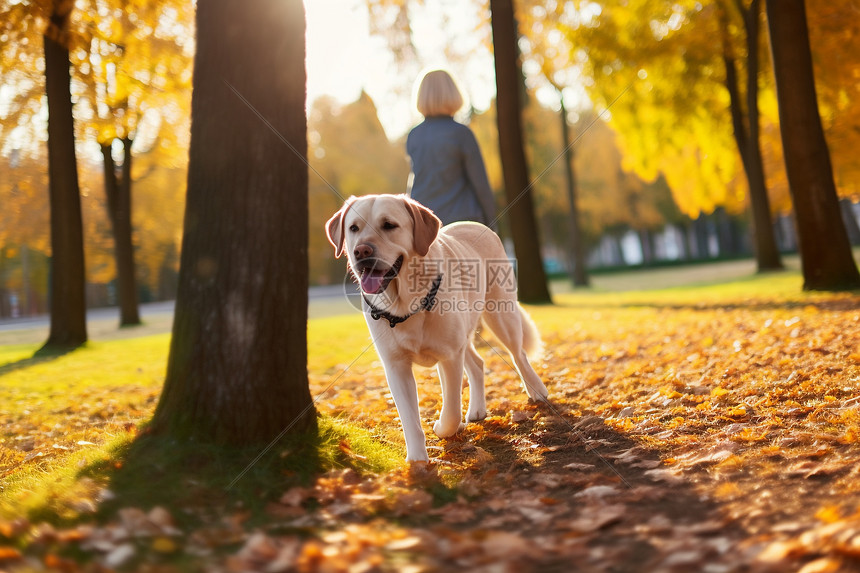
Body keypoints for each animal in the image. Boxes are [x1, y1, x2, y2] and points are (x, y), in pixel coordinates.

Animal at [326, 194, 548, 462]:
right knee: (477, 363)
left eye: (389, 225)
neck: (406, 305)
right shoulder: (396, 366)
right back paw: (477, 409)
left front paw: (443, 428)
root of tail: (475, 224)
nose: (362, 251)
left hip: (501, 314)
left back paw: (537, 390)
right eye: (353, 228)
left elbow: (451, 411)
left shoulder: (450, 356)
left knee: (519, 355)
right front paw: (417, 461)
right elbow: (409, 418)